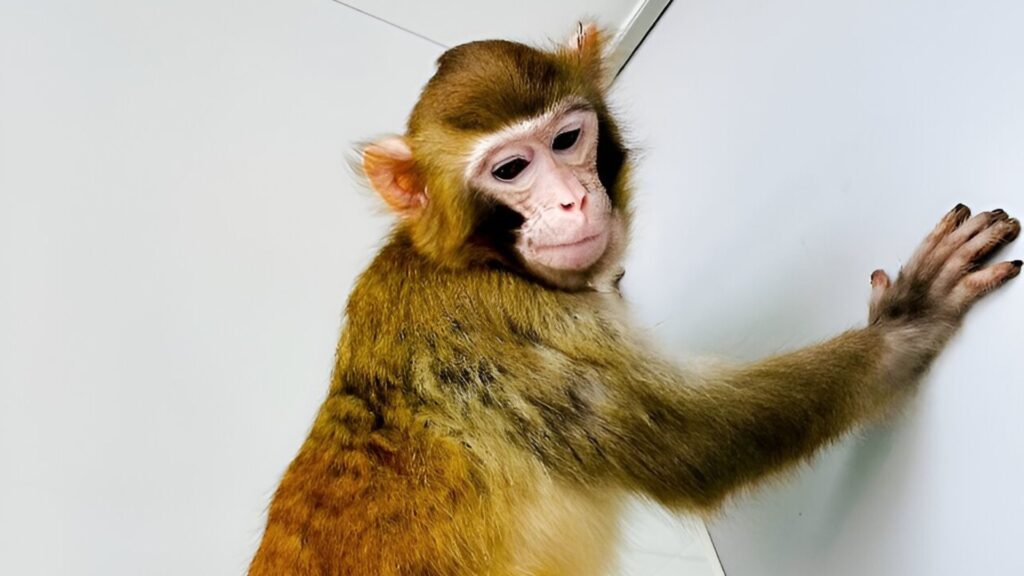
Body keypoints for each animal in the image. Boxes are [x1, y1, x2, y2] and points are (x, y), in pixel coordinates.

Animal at [248, 24, 1021, 576]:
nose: (571, 198)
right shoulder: (502, 326)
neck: (469, 260)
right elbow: (699, 443)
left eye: (568, 138)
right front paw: (908, 320)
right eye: (512, 168)